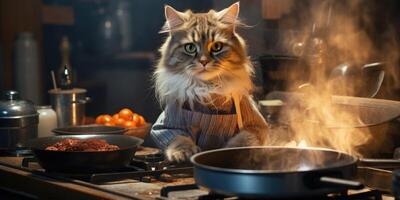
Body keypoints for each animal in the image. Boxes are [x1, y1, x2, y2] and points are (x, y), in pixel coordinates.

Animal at [150, 2, 268, 162]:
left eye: (217, 47)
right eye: (190, 47)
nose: (204, 61)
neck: (207, 89)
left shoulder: (255, 125)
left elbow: (242, 140)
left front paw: (229, 152)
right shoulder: (166, 125)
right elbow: (179, 138)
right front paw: (183, 153)